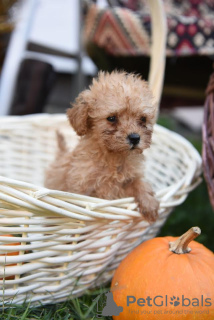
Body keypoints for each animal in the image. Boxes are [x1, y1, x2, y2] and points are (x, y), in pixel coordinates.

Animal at [45, 71, 159, 222]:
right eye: (111, 118)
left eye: (143, 119)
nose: (135, 138)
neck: (113, 157)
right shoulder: (82, 188)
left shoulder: (129, 179)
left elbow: (140, 183)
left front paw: (149, 203)